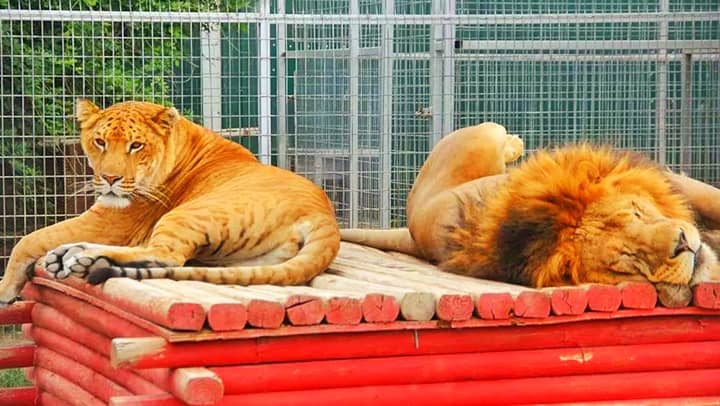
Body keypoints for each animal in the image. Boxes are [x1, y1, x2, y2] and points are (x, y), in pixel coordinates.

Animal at [0, 100, 340, 304]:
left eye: (136, 146)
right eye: (100, 142)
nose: (110, 178)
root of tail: (325, 215)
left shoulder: (108, 223)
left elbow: (29, 239)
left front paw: (5, 291)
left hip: (187, 213)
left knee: (167, 254)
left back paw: (79, 256)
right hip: (248, 259)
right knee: (170, 258)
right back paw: (74, 255)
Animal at [342, 122, 720, 306]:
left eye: (637, 213)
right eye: (627, 260)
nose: (684, 243)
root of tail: (412, 224)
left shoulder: (678, 183)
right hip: (479, 139)